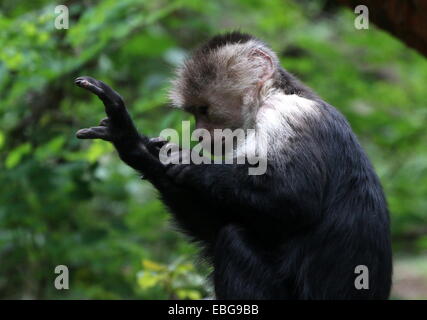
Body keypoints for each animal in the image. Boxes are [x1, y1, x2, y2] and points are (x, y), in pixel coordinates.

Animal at [75, 31, 392, 300]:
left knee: (233, 238)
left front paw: (192, 163)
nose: (198, 134)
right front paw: (134, 144)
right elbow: (213, 227)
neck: (276, 93)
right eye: (194, 112)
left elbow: (294, 199)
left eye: (204, 110)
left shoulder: (285, 115)